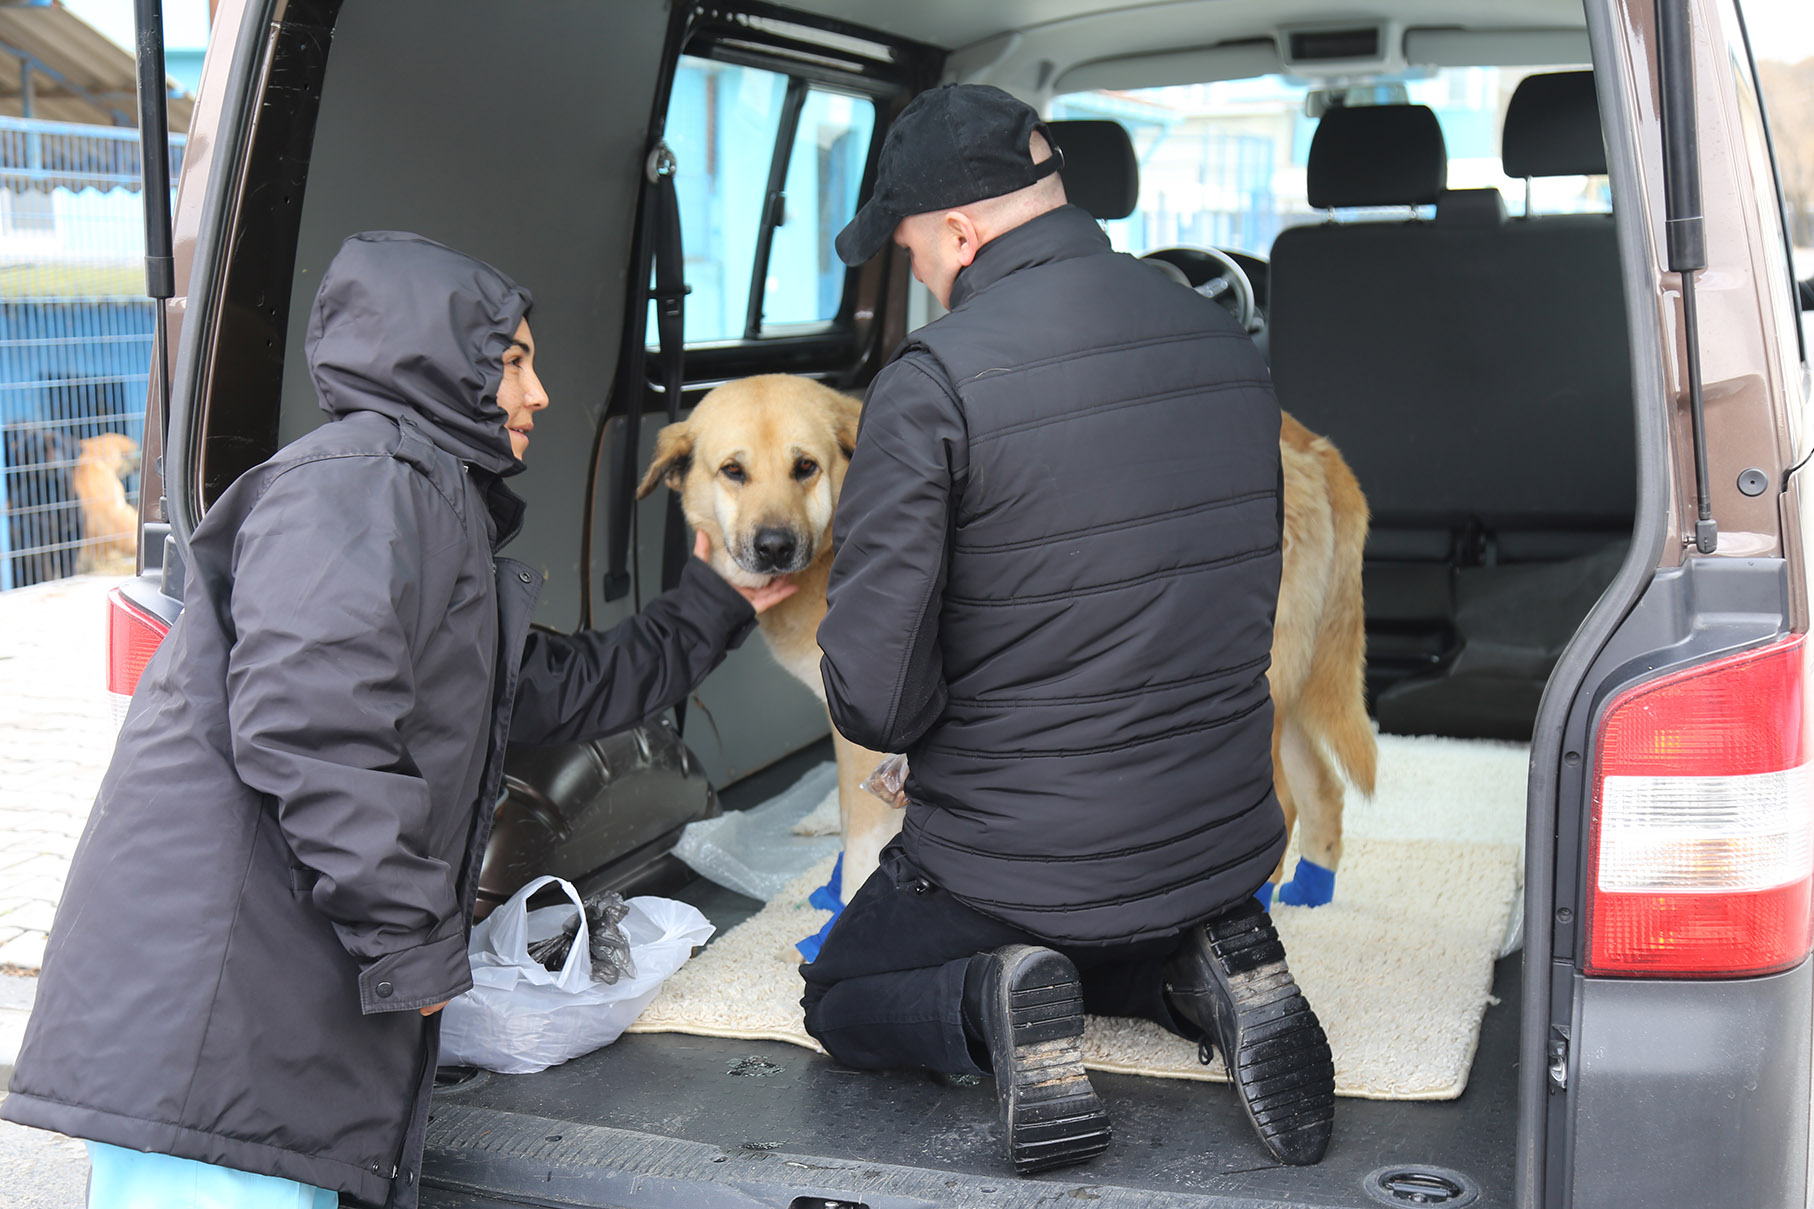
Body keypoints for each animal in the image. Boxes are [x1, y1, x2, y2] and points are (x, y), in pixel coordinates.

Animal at [638, 377, 1371, 904]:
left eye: (805, 467)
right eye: (733, 471)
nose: (773, 547)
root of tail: (1314, 444)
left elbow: (863, 827)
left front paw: (843, 904)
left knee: (1278, 799)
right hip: (1286, 685)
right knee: (1322, 787)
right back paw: (1312, 889)